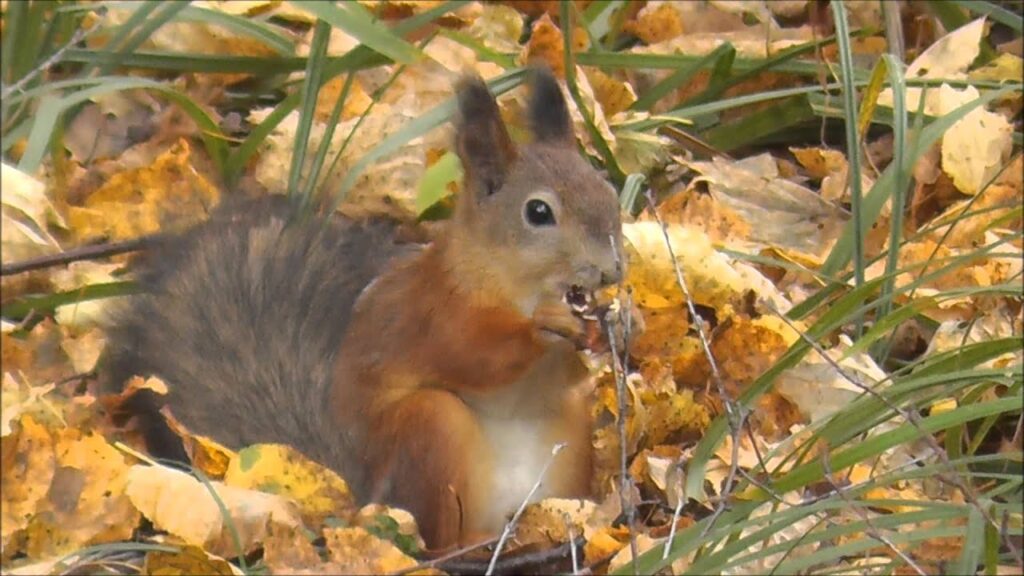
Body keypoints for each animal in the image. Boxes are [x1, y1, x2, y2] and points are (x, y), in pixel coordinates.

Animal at [103, 69, 622, 549]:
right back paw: (472, 544)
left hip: (570, 437)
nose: (613, 269)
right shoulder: (435, 312)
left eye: (607, 190)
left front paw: (614, 325)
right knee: (442, 538)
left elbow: (570, 373)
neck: (514, 284)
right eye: (538, 213)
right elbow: (475, 356)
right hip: (432, 430)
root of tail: (368, 499)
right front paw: (545, 325)